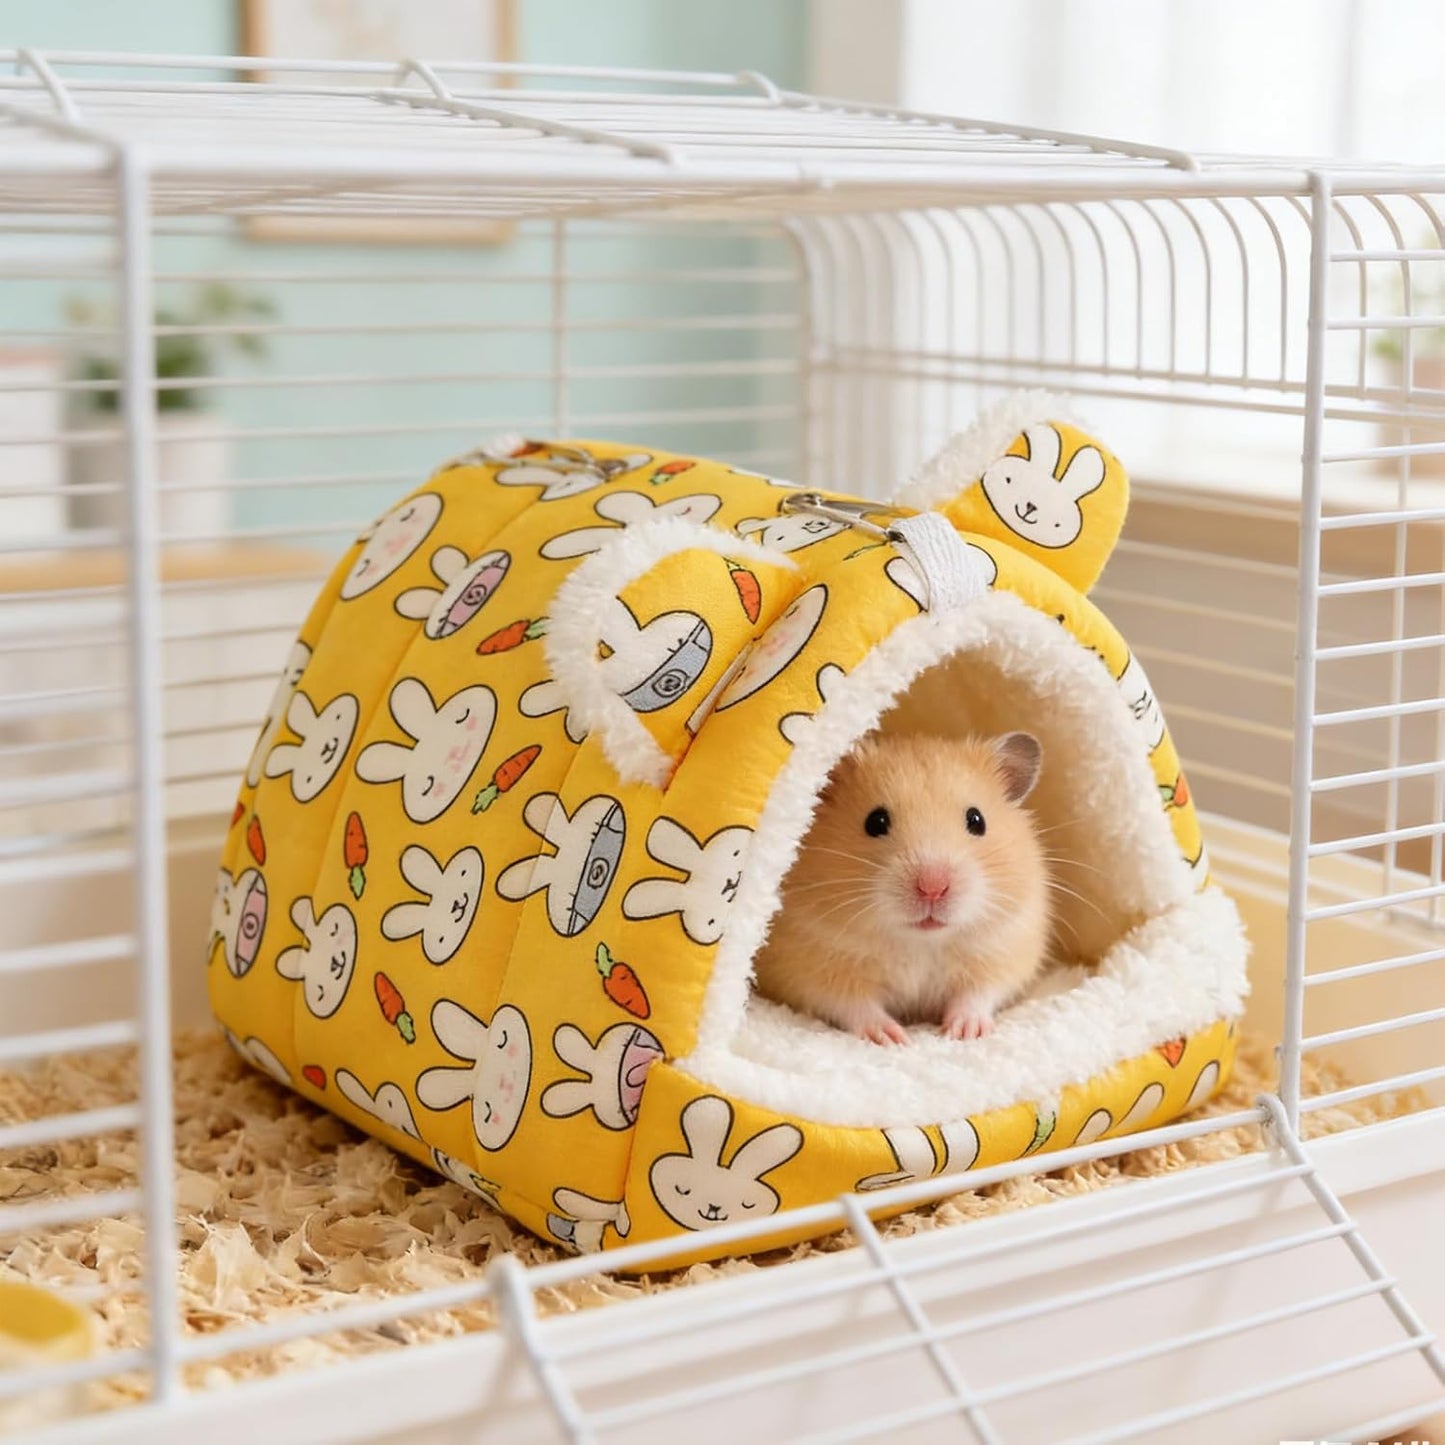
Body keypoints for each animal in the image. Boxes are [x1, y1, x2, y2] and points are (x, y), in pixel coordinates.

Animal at [753, 732, 1050, 1046]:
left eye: (976, 820)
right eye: (876, 821)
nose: (933, 888)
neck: (919, 943)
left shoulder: (1005, 949)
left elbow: (978, 993)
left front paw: (963, 1032)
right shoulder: (809, 969)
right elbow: (852, 1004)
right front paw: (892, 1037)